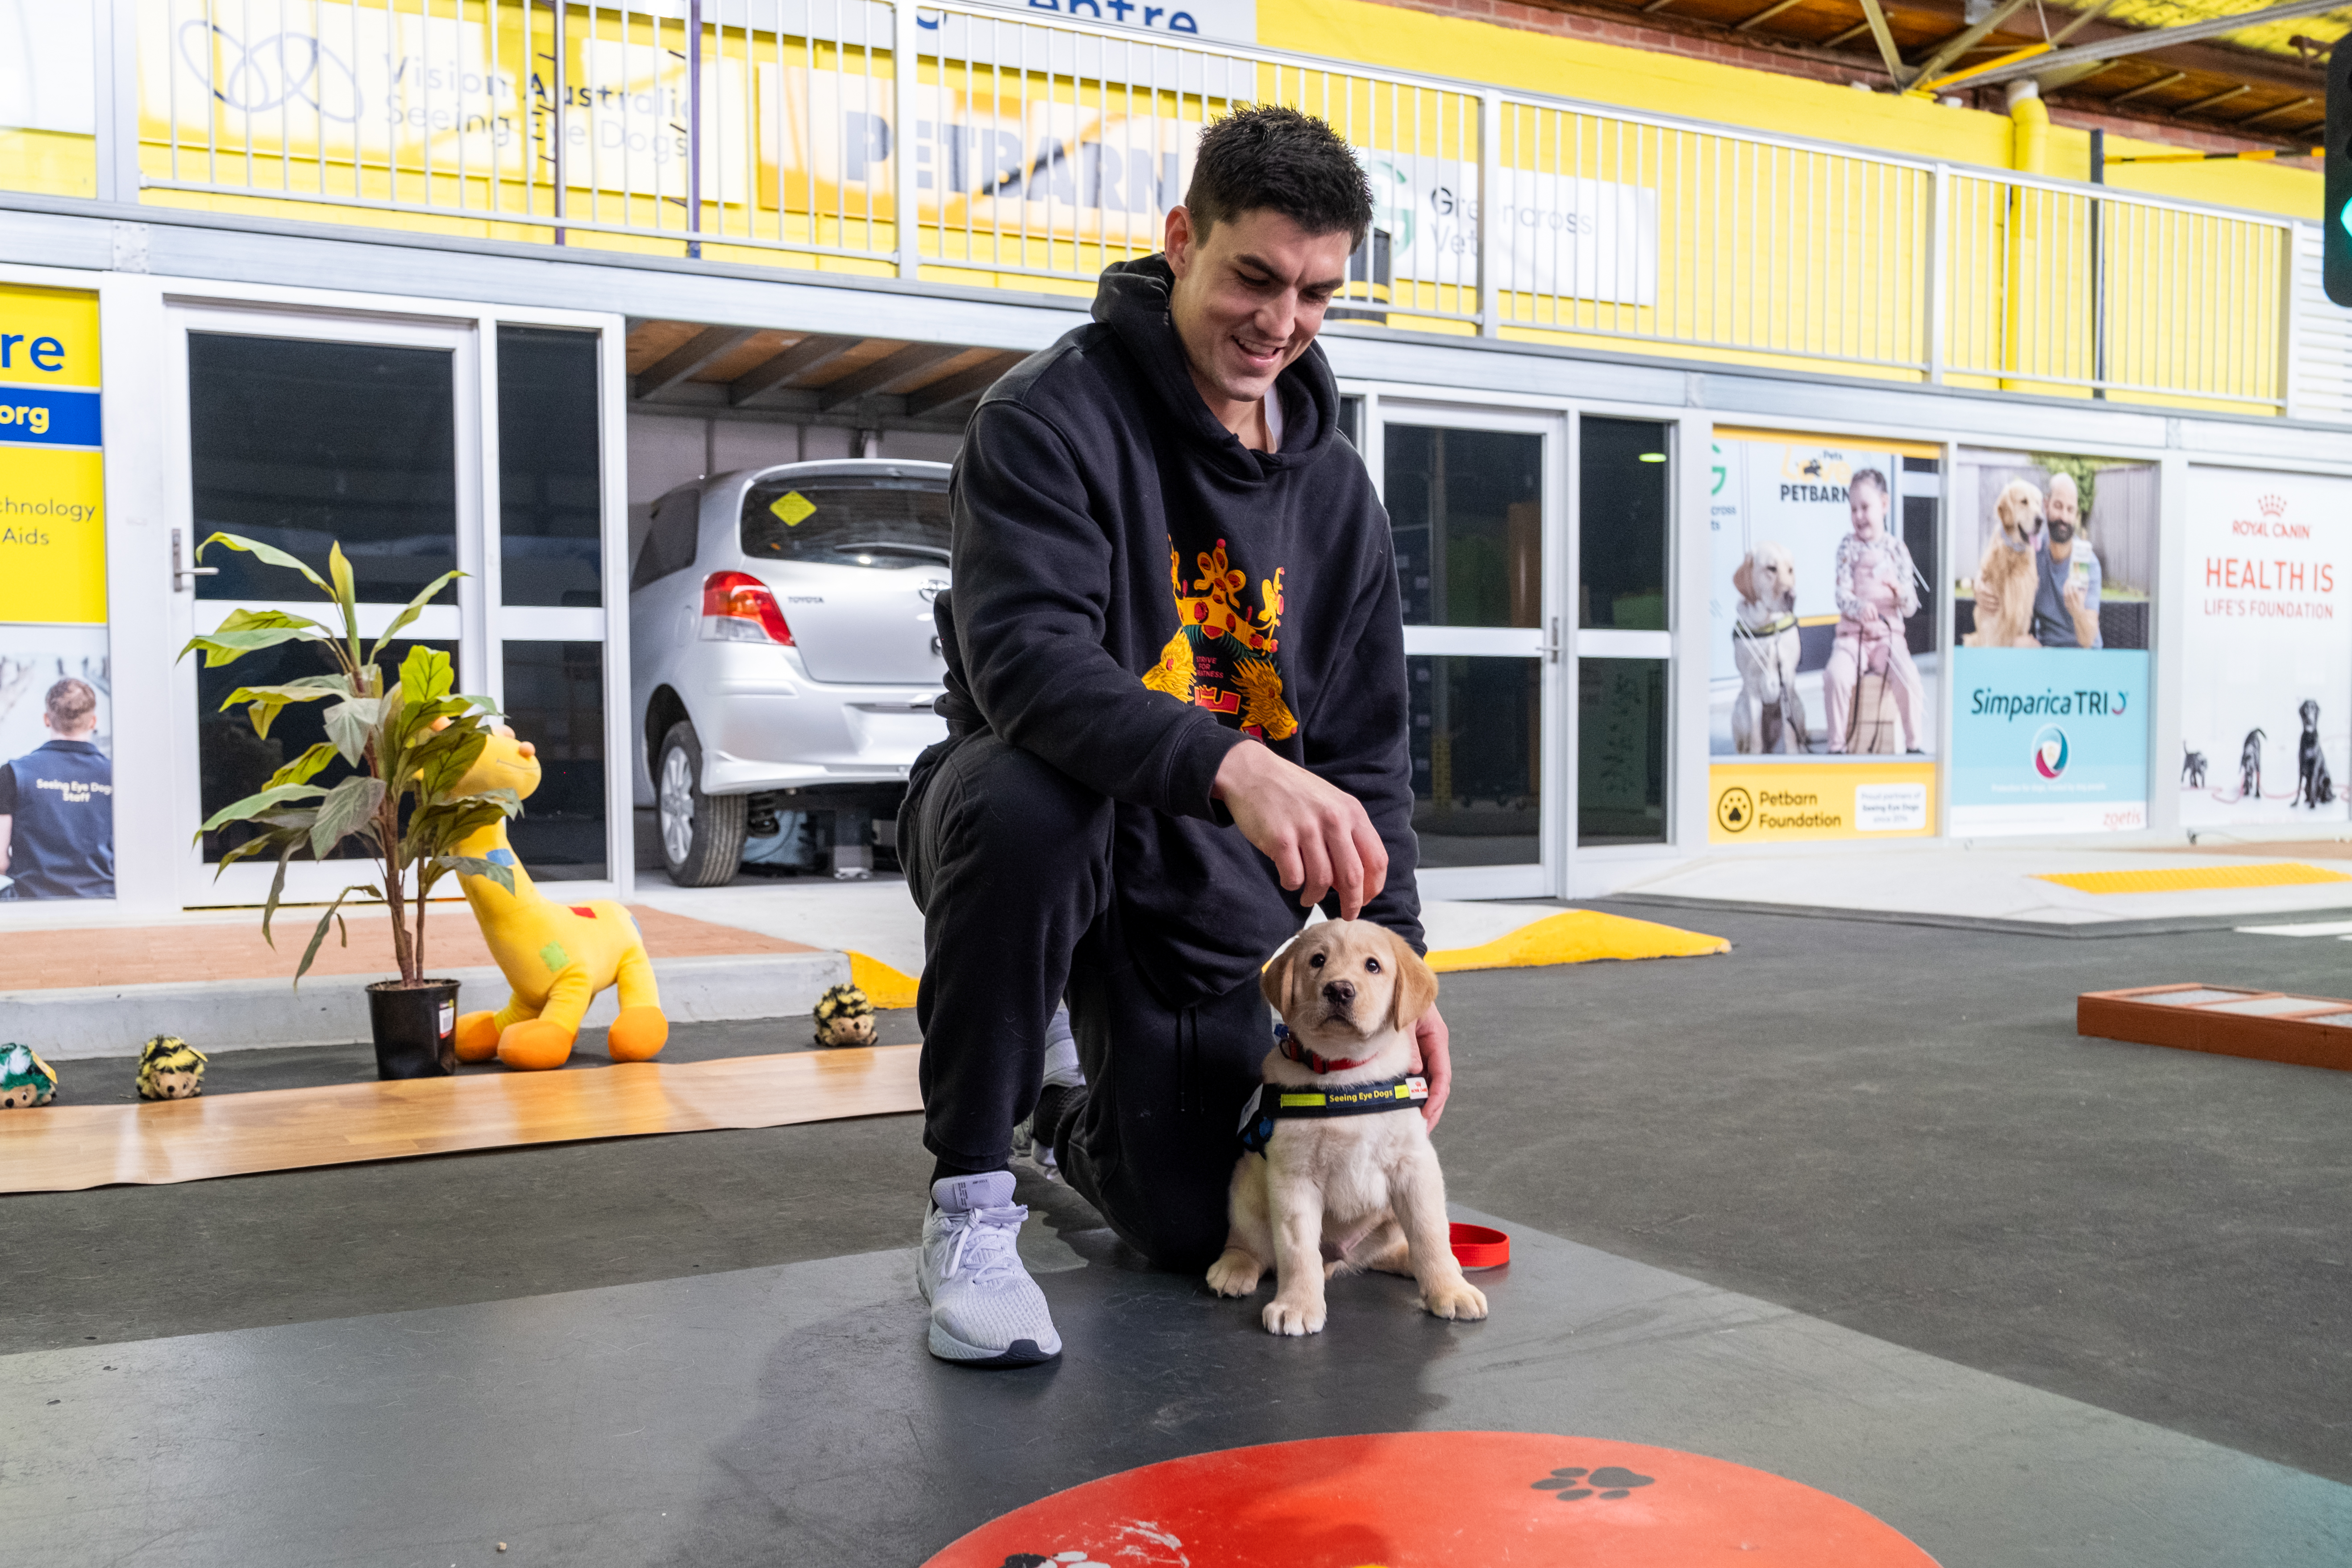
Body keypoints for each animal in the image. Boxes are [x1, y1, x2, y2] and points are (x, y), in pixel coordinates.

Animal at [1213, 921, 1486, 1335]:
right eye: (1317, 961)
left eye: (1372, 965)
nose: (1339, 989)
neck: (1347, 1073)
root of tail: (1337, 1259)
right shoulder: (1293, 1175)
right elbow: (1297, 1249)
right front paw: (1297, 1304)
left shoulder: (1415, 1166)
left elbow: (1430, 1232)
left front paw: (1449, 1290)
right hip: (1245, 1187)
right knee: (1252, 1244)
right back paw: (1234, 1267)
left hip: (1386, 1221)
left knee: (1388, 1250)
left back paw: (1423, 1263)